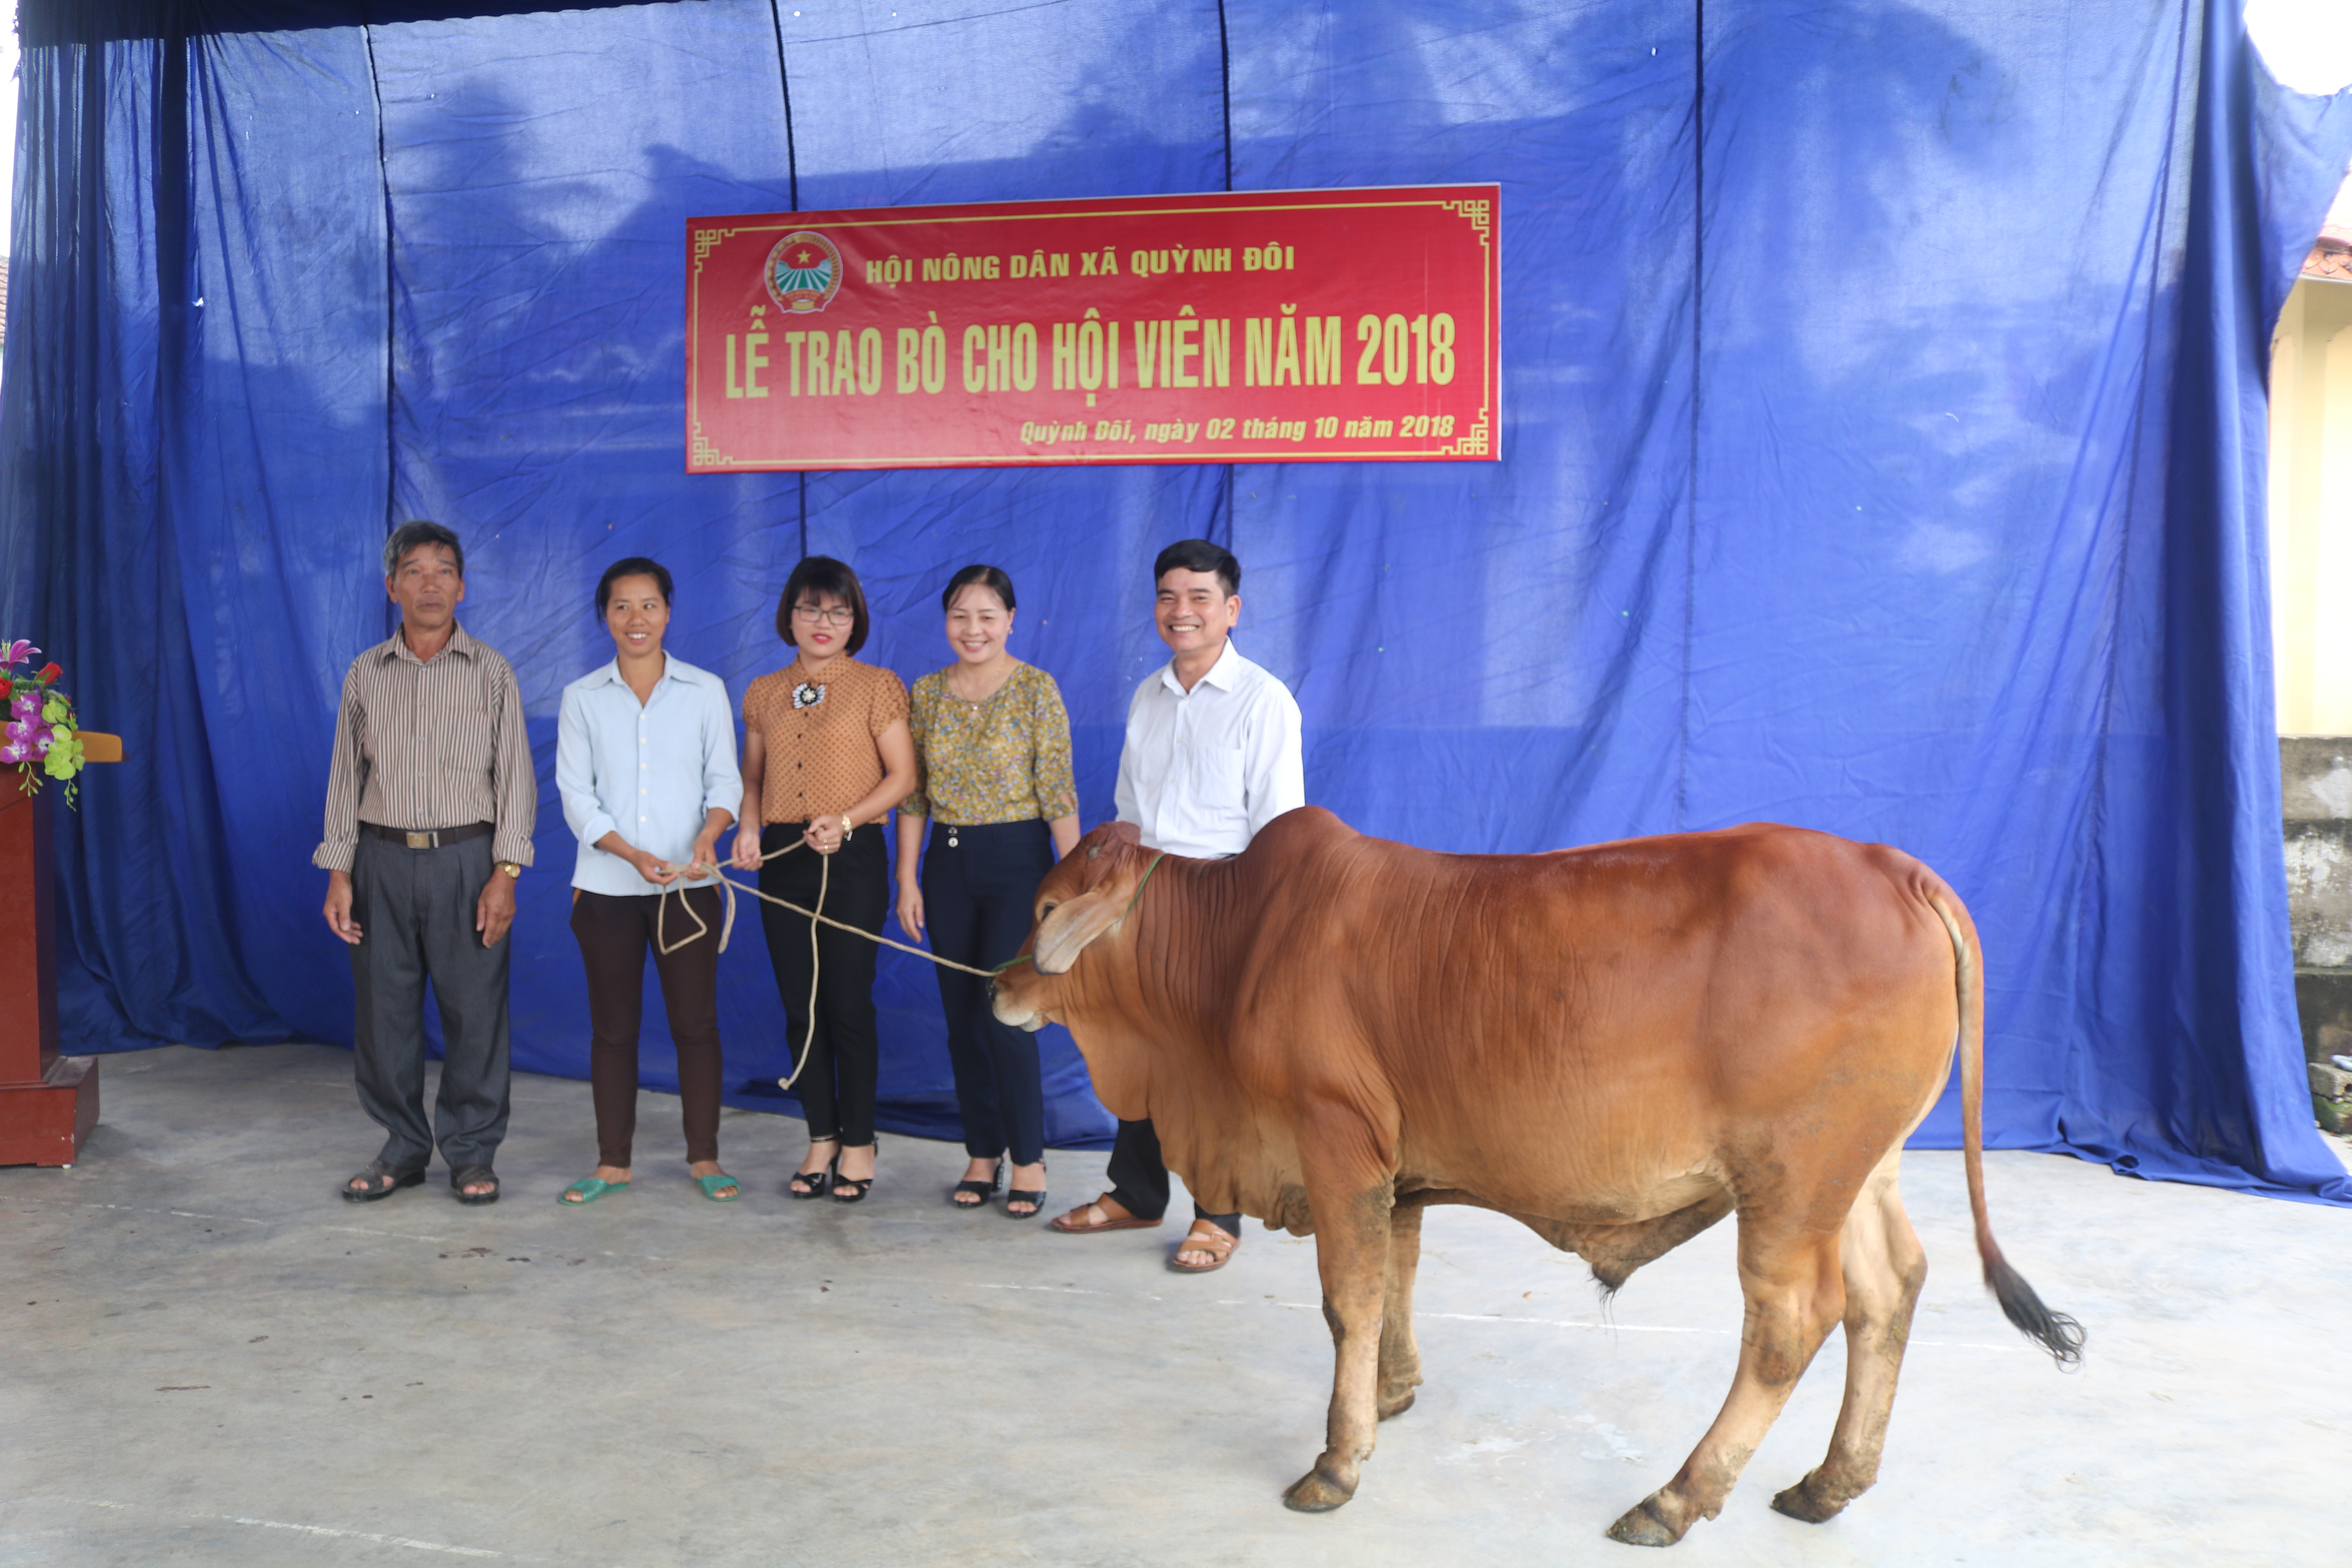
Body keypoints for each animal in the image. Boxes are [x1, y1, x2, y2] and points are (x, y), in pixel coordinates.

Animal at [988, 818, 2079, 1552]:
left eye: (1044, 909)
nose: (998, 985)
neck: (1232, 951)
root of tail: (1896, 867)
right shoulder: (1397, 1172)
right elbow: (1396, 1280)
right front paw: (1391, 1394)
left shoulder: (1337, 1143)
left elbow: (1349, 1298)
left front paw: (1337, 1459)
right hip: (1857, 1175)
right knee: (1888, 1290)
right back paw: (1828, 1483)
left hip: (1791, 1181)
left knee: (1793, 1319)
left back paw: (1675, 1497)